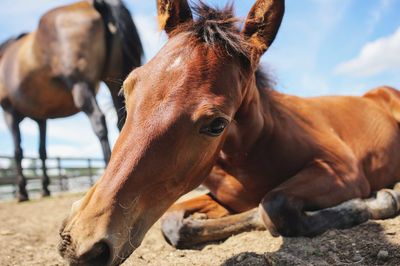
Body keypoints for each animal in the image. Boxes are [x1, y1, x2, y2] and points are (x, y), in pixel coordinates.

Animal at [0, 0, 144, 201]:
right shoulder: (41, 118)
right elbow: (42, 151)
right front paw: (45, 188)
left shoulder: (9, 112)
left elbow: (18, 151)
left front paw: (22, 192)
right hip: (115, 80)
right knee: (122, 121)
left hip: (80, 84)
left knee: (99, 121)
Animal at [57, 0, 400, 266]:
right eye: (126, 91)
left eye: (217, 124)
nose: (81, 241)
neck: (251, 153)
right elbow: (175, 223)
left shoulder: (345, 172)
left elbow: (273, 205)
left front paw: (377, 201)